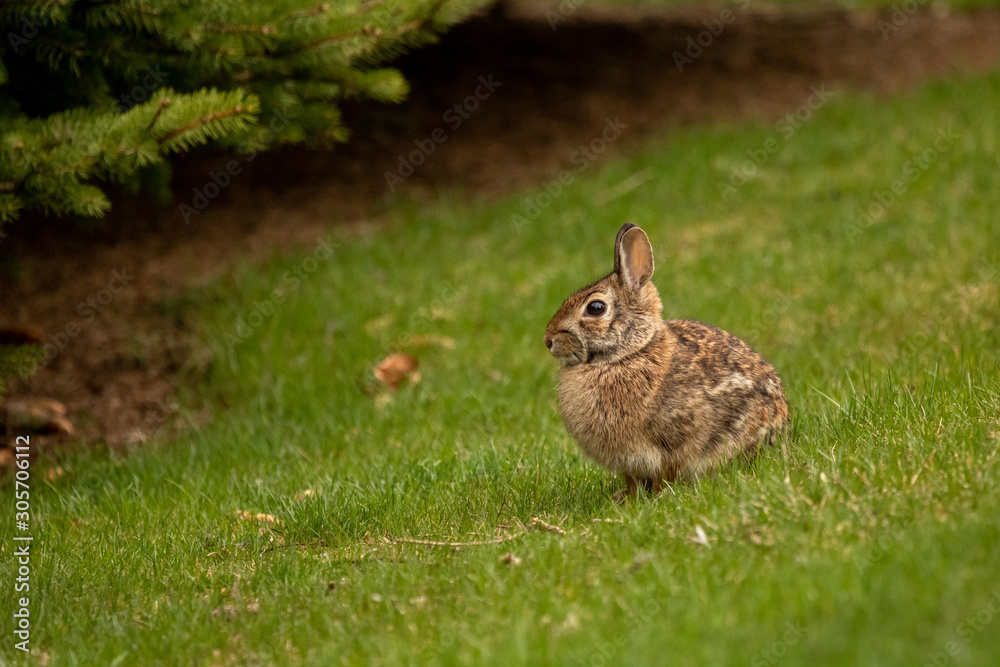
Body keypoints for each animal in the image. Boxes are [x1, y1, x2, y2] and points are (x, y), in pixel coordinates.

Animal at [543, 223, 789, 498]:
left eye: (595, 308)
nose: (548, 339)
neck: (628, 354)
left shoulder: (674, 441)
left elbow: (668, 471)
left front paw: (658, 497)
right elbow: (633, 481)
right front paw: (629, 500)